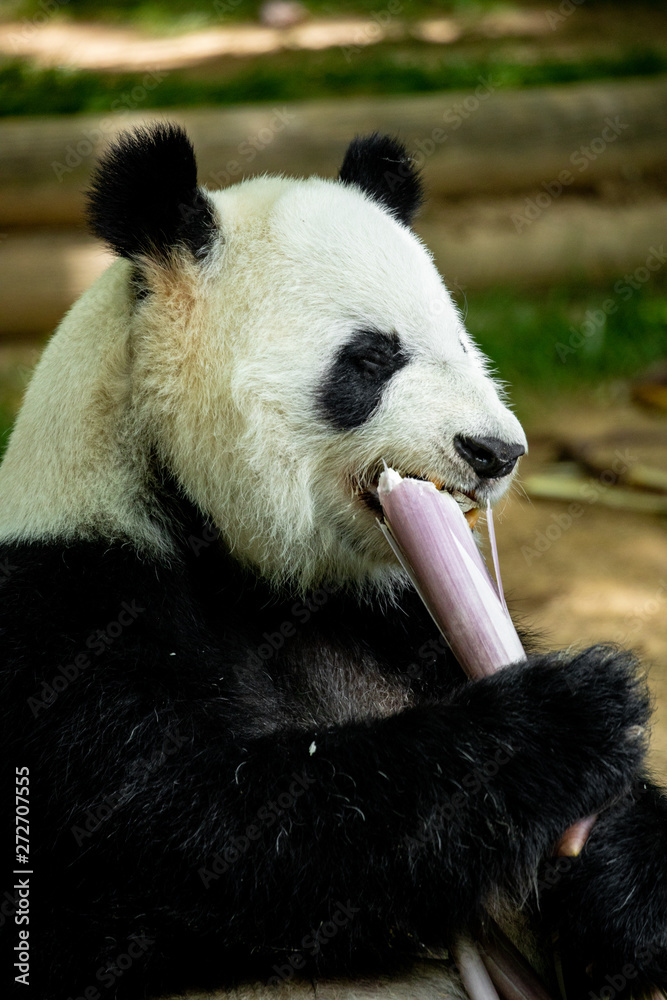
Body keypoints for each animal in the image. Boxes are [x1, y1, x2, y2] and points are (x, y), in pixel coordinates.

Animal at [1, 124, 666, 1000]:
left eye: (461, 343)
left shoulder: (397, 616)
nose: (496, 452)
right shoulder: (69, 612)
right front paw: (560, 723)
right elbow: (192, 842)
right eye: (372, 358)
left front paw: (611, 851)